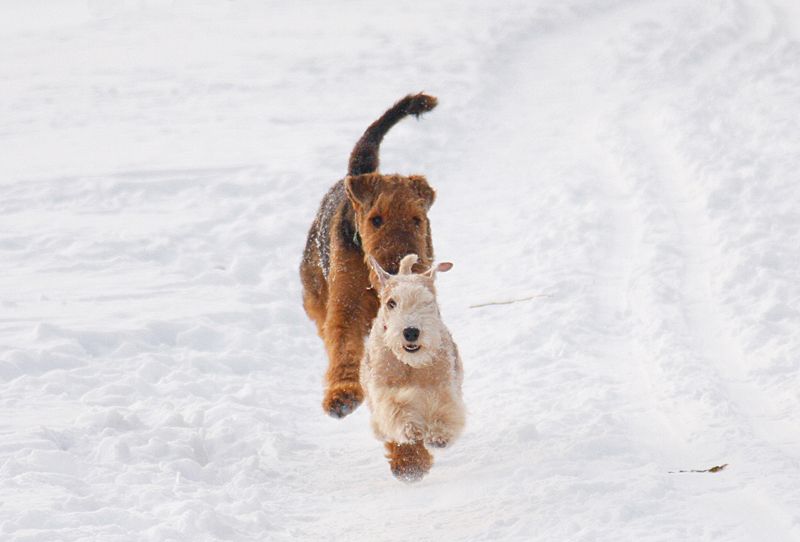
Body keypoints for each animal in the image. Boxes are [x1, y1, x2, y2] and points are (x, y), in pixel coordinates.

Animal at [298, 93, 438, 432]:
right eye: (376, 219)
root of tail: (355, 175)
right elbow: (344, 347)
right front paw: (342, 396)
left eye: (417, 219)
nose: (400, 267)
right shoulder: (346, 307)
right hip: (316, 295)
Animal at [360, 253, 466, 482]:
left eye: (428, 301)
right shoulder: (384, 389)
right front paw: (411, 429)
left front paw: (439, 435)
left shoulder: (443, 386)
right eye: (391, 302)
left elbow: (444, 408)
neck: (410, 364)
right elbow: (396, 407)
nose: (411, 332)